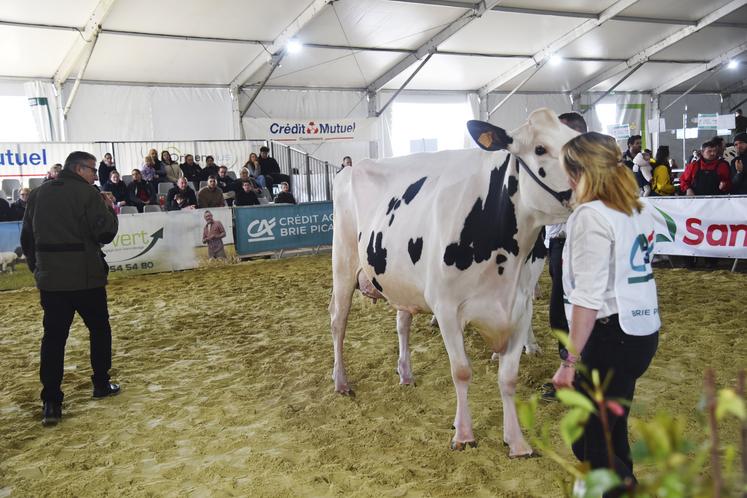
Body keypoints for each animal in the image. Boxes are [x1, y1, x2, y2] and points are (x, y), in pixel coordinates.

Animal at [329, 108, 578, 456]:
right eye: (540, 148)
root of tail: (352, 167)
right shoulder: (446, 308)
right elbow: (461, 371)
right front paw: (463, 434)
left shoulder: (520, 306)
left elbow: (509, 377)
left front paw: (516, 441)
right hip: (343, 263)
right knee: (338, 322)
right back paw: (341, 381)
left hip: (401, 280)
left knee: (402, 323)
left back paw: (405, 373)